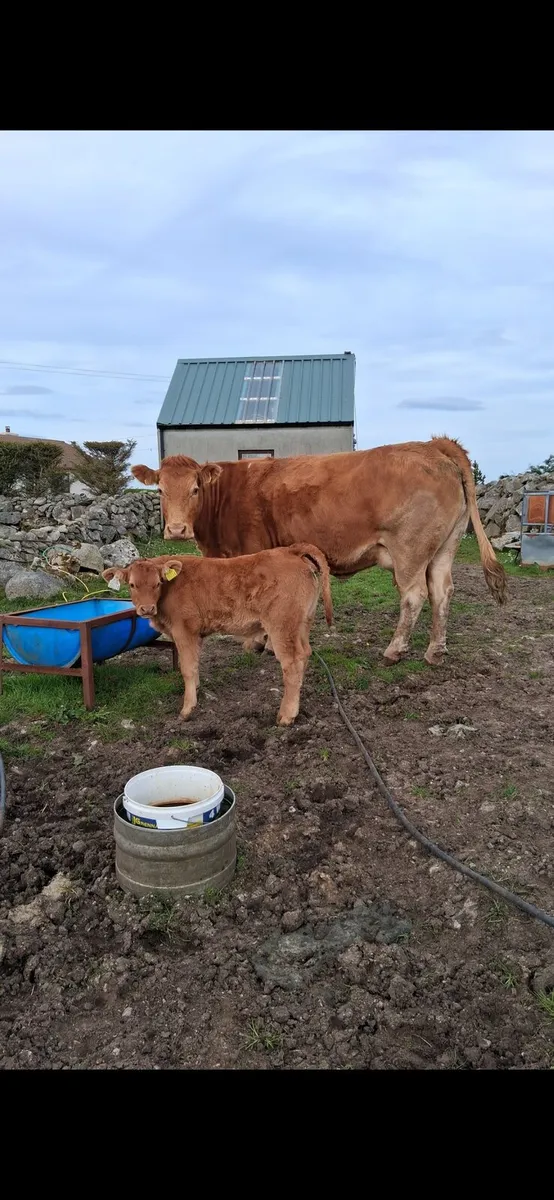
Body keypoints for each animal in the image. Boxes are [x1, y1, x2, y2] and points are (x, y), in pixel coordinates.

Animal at [102, 543, 333, 726]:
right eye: (132, 585)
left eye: (157, 583)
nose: (147, 609)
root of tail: (290, 550)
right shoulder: (195, 634)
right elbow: (194, 665)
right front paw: (195, 689)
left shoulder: (183, 630)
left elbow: (187, 668)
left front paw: (187, 709)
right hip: (301, 624)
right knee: (305, 654)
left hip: (281, 626)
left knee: (292, 663)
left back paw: (286, 715)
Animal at [132, 436, 507, 667]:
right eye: (160, 490)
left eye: (195, 489)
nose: (176, 530)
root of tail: (434, 445)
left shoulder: (254, 552)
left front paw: (259, 643)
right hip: (445, 547)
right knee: (442, 592)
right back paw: (434, 652)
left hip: (410, 549)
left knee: (414, 595)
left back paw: (394, 651)